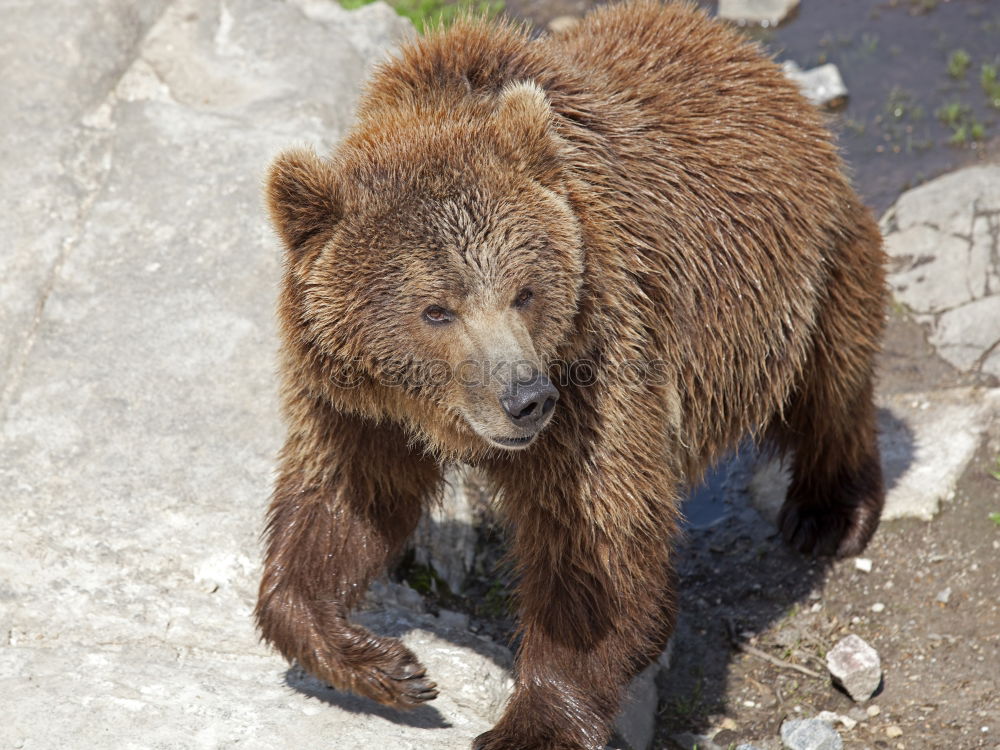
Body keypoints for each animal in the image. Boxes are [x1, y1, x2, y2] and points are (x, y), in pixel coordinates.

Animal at [254, 2, 888, 748]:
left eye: (525, 291)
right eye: (436, 309)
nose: (525, 398)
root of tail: (750, 58)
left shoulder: (600, 367)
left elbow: (595, 550)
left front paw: (530, 722)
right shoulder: (356, 401)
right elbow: (342, 502)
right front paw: (384, 664)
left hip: (806, 270)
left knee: (830, 382)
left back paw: (831, 511)